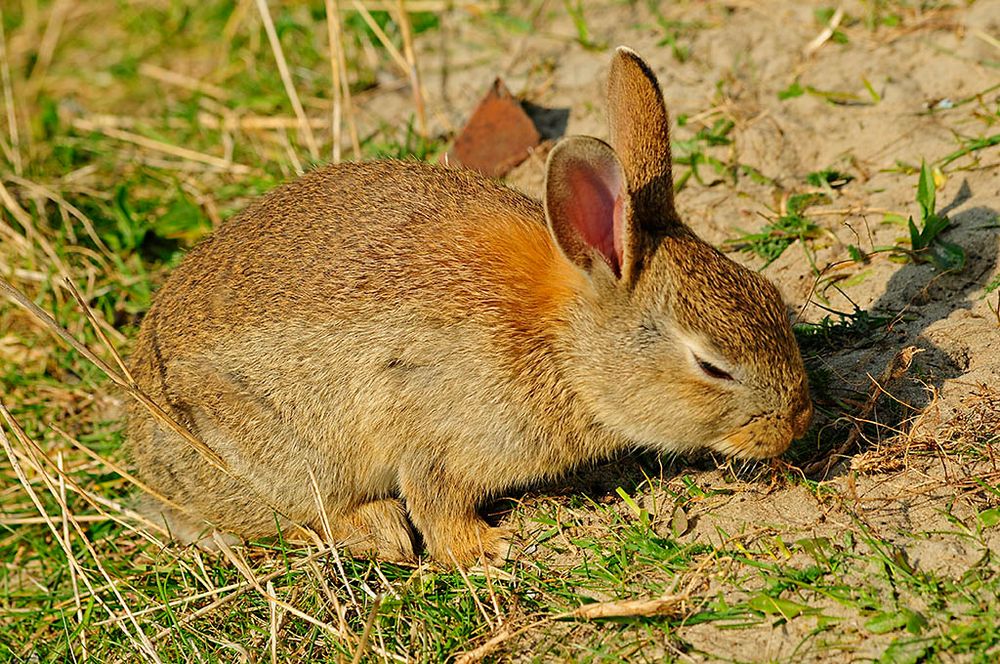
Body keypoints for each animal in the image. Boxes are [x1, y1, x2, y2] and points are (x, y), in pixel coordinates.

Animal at [129, 48, 812, 564]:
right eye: (712, 366)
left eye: (768, 293)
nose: (798, 421)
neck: (563, 345)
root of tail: (149, 455)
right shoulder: (438, 429)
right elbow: (437, 503)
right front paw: (493, 547)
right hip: (279, 451)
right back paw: (378, 529)